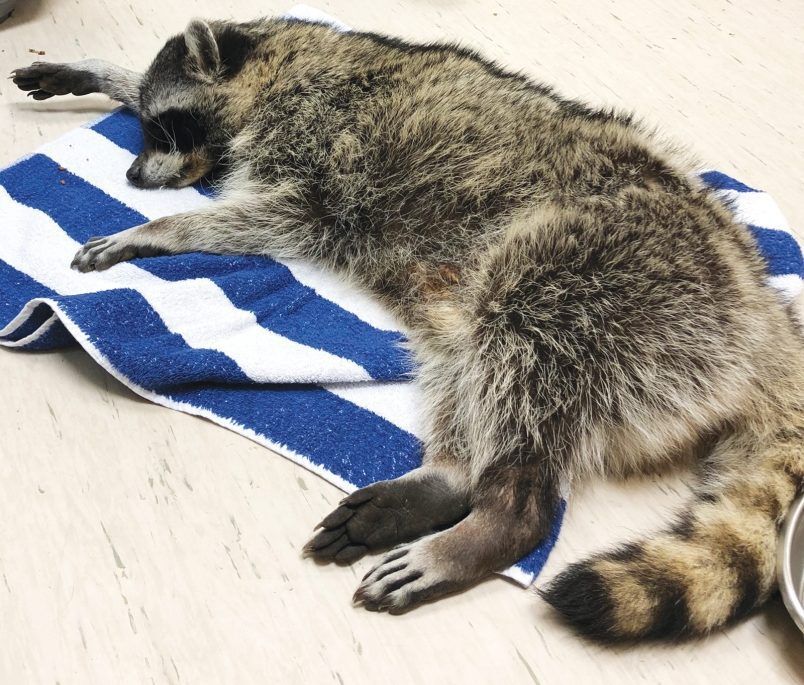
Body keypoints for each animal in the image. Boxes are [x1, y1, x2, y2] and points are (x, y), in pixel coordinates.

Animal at [12, 16, 804, 642]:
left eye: (164, 126)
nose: (134, 178)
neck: (277, 59)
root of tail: (761, 306)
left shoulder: (322, 157)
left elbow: (276, 216)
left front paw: (158, 230)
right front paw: (97, 69)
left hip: (605, 272)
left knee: (524, 342)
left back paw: (498, 516)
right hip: (488, 299)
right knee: (468, 358)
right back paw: (448, 478)